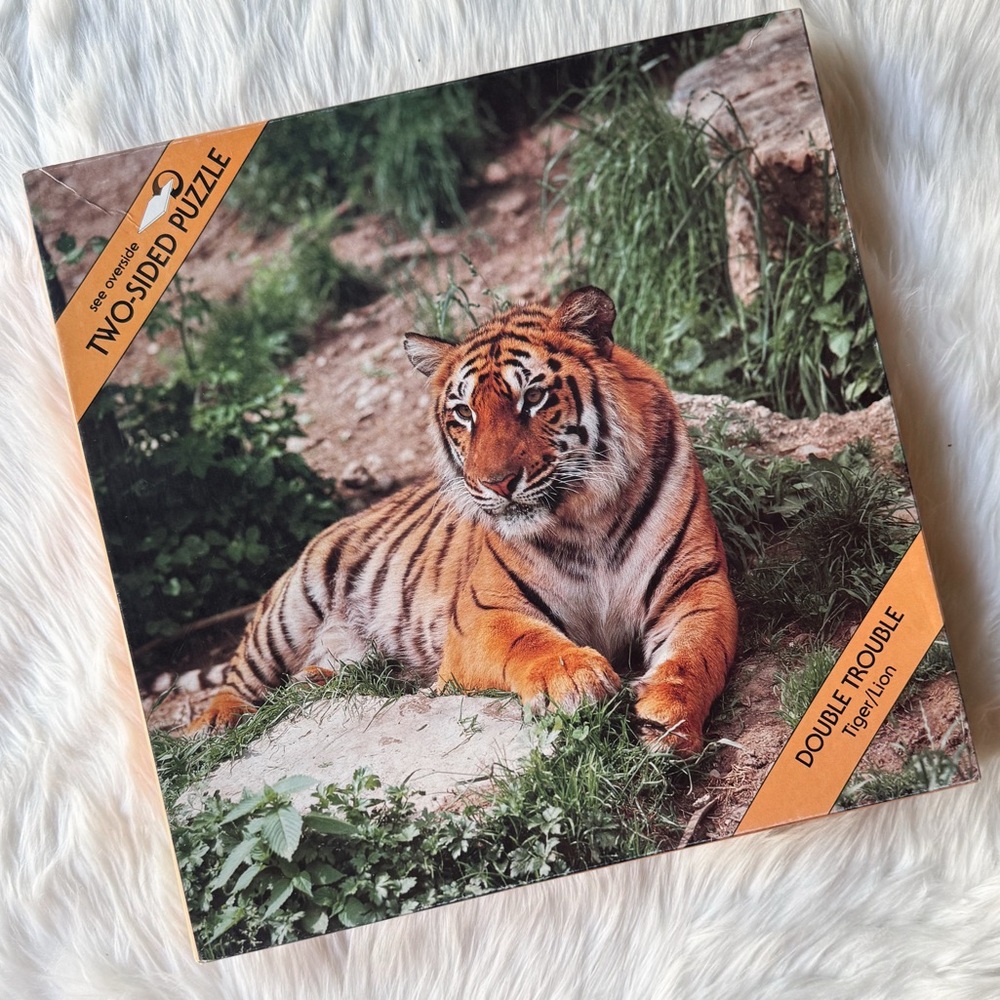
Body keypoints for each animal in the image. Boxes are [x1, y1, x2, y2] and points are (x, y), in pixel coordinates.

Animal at [186, 285, 738, 753]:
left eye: (532, 397)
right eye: (463, 413)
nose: (497, 482)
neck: (587, 519)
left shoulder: (697, 585)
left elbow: (694, 655)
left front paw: (666, 718)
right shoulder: (481, 612)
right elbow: (528, 639)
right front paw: (574, 675)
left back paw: (318, 680)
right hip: (289, 609)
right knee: (238, 678)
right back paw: (211, 723)